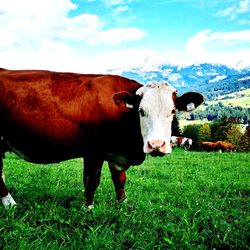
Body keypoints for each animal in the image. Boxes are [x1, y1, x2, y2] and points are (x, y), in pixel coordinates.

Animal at [0, 68, 203, 209]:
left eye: (173, 111)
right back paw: (10, 204)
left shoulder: (116, 153)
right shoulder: (93, 151)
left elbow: (120, 179)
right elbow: (91, 180)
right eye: (141, 111)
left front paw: (123, 204)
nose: (156, 145)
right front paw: (88, 208)